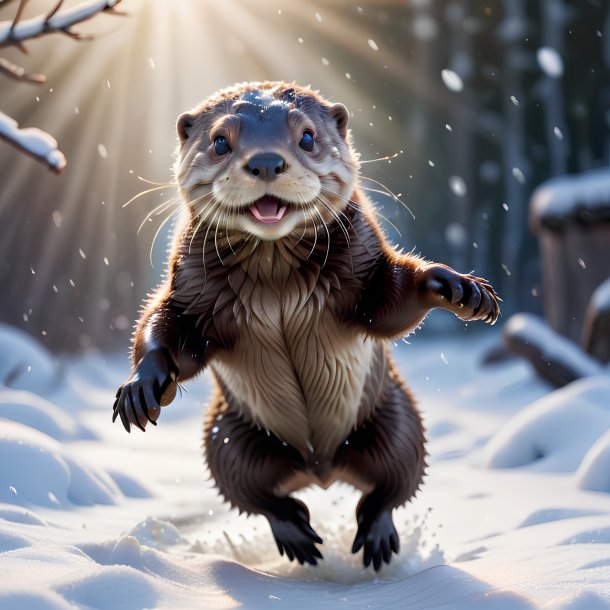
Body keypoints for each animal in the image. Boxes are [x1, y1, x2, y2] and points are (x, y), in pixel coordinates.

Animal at [111, 81, 496, 568]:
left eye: (308, 137)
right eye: (220, 141)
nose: (266, 161)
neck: (277, 286)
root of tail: (320, 469)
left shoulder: (363, 268)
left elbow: (389, 302)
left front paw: (460, 288)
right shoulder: (189, 290)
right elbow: (165, 327)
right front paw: (141, 387)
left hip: (398, 419)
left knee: (394, 482)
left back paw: (373, 537)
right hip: (228, 438)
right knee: (252, 492)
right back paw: (297, 534)